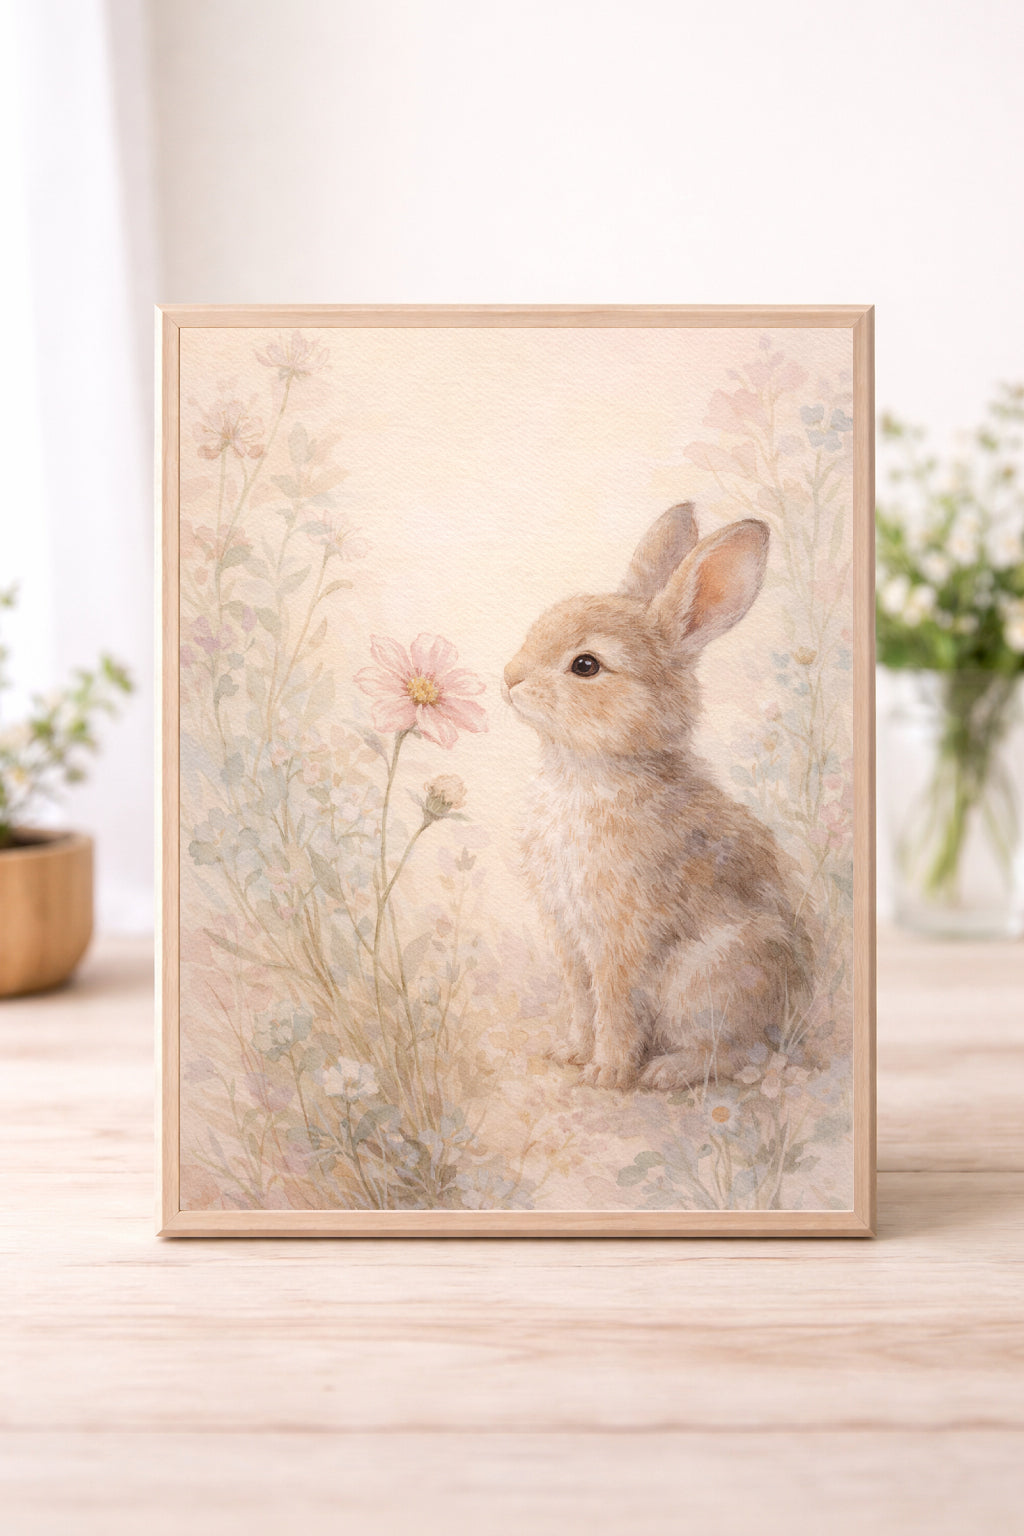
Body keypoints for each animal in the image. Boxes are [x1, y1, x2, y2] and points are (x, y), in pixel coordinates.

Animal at [502, 501, 813, 1093]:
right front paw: (569, 1052)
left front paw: (605, 1073)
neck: (589, 769)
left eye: (585, 665)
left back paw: (665, 1071)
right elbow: (581, 1001)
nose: (509, 679)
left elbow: (615, 1006)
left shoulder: (621, 938)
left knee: (736, 1054)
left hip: (706, 982)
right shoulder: (569, 938)